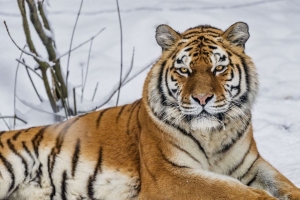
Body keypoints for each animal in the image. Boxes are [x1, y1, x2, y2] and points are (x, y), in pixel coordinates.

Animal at [0, 21, 300, 200]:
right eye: (184, 70)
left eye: (218, 68)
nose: (202, 98)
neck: (212, 135)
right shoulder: (169, 174)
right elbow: (229, 190)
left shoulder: (252, 165)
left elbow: (284, 185)